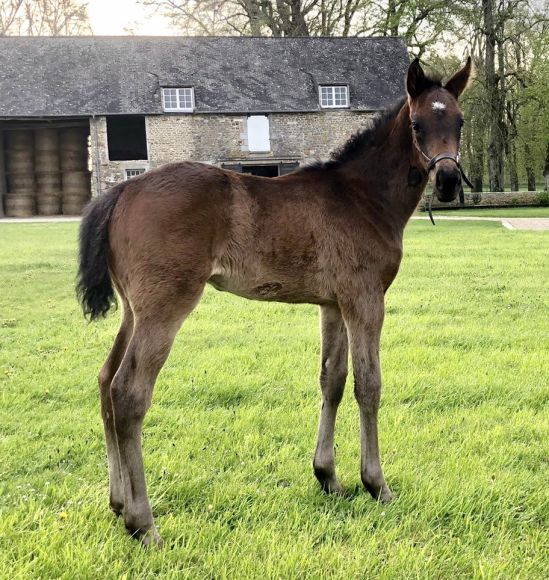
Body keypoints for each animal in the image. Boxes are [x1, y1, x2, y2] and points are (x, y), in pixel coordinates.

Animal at [77, 56, 470, 548]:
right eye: (417, 124)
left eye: (459, 120)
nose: (449, 180)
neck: (362, 197)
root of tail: (122, 190)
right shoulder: (365, 299)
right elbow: (369, 385)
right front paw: (376, 484)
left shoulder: (333, 304)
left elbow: (332, 380)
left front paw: (329, 478)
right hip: (164, 306)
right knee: (128, 392)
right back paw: (142, 523)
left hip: (134, 309)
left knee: (104, 380)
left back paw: (116, 503)